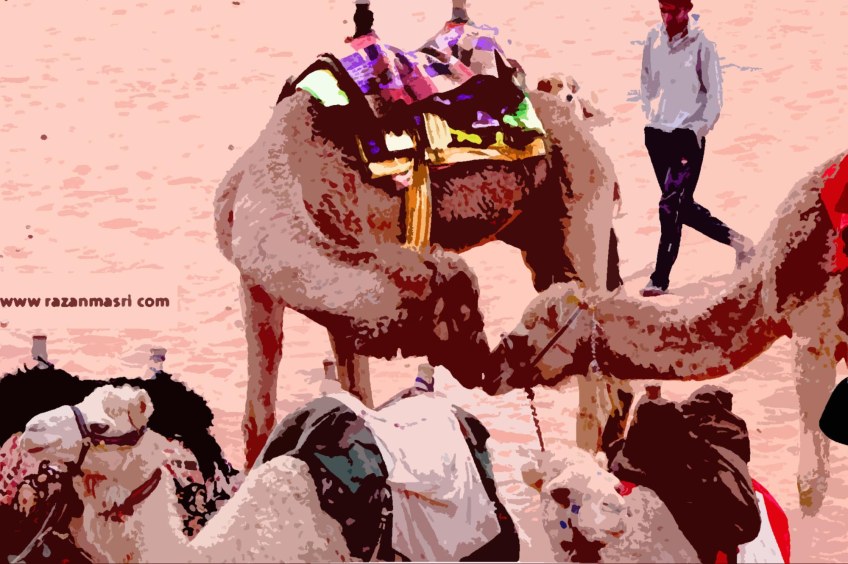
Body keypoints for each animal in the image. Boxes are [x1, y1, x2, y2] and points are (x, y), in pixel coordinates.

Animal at [214, 38, 624, 465]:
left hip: (580, 226)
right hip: (540, 247)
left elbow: (360, 399)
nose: (484, 368)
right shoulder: (257, 285)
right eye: (461, 318)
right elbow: (259, 418)